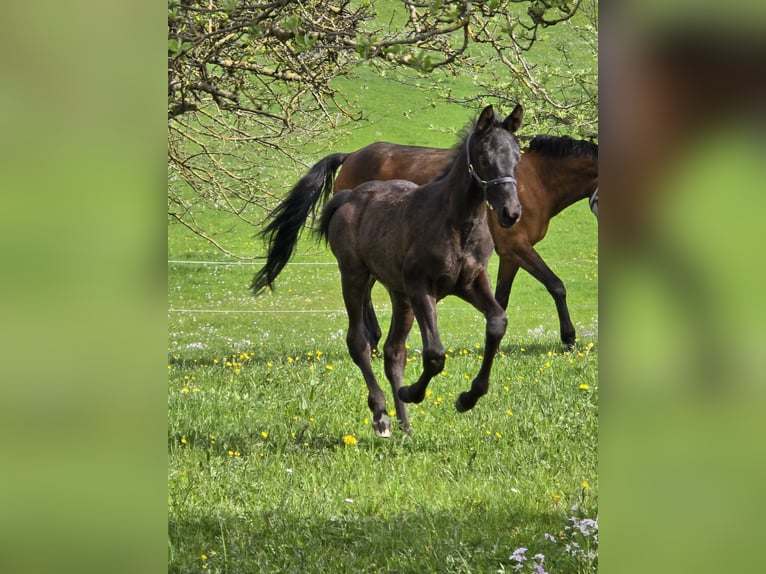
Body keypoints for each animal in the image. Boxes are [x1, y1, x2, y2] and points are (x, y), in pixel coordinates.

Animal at [251, 125, 597, 349]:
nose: (509, 211)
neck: (534, 179)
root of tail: (351, 156)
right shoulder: (518, 247)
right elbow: (556, 285)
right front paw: (568, 337)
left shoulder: (510, 255)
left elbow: (501, 299)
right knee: (363, 292)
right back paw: (372, 341)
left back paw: (374, 340)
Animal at [257, 104, 523, 436]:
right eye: (485, 158)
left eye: (518, 157)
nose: (511, 212)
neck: (457, 224)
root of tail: (349, 196)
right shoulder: (421, 287)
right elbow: (435, 354)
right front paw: (412, 392)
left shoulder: (472, 282)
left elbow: (497, 322)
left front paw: (467, 398)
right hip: (356, 277)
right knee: (359, 341)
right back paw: (381, 414)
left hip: (399, 295)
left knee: (393, 351)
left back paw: (405, 424)